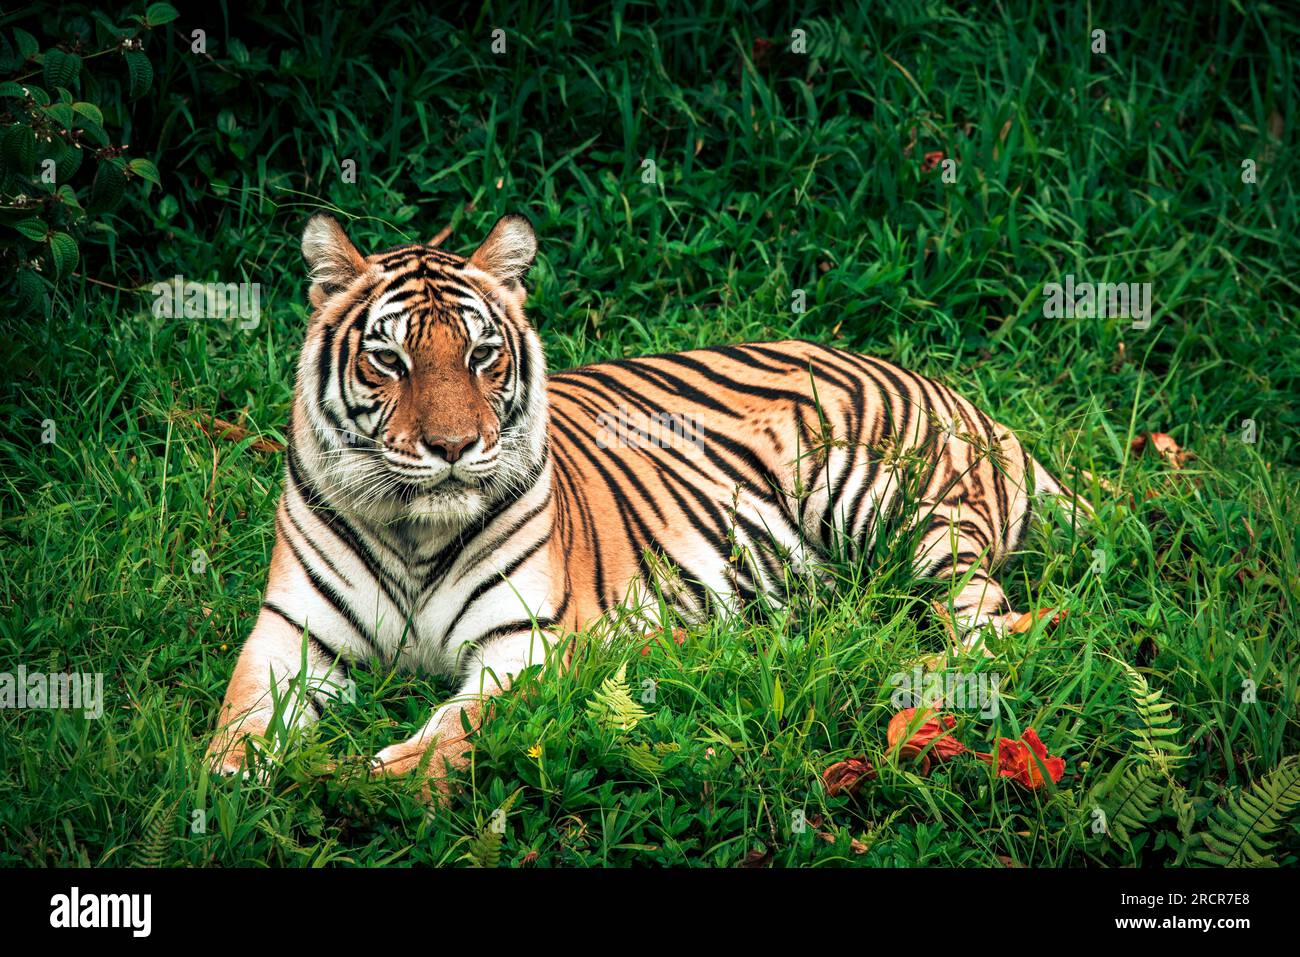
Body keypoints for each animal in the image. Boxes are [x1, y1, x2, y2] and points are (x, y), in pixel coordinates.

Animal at [206, 212, 1088, 785]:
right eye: (389, 359)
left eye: (483, 354)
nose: (453, 447)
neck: (415, 530)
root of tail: (970, 401)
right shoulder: (289, 633)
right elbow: (241, 713)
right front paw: (231, 780)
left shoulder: (528, 643)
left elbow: (460, 720)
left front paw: (376, 774)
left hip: (884, 502)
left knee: (995, 628)